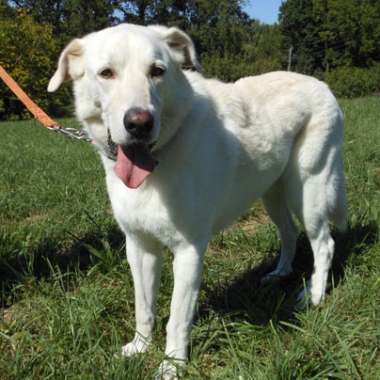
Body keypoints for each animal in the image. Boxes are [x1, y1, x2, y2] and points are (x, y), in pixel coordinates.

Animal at [47, 23, 348, 378]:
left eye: (157, 71)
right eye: (106, 73)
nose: (139, 124)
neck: (160, 158)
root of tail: (322, 84)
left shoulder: (189, 250)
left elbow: (178, 319)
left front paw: (172, 365)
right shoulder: (139, 246)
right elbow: (143, 307)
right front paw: (139, 347)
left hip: (308, 190)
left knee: (324, 244)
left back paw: (313, 296)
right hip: (271, 193)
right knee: (289, 232)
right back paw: (279, 274)